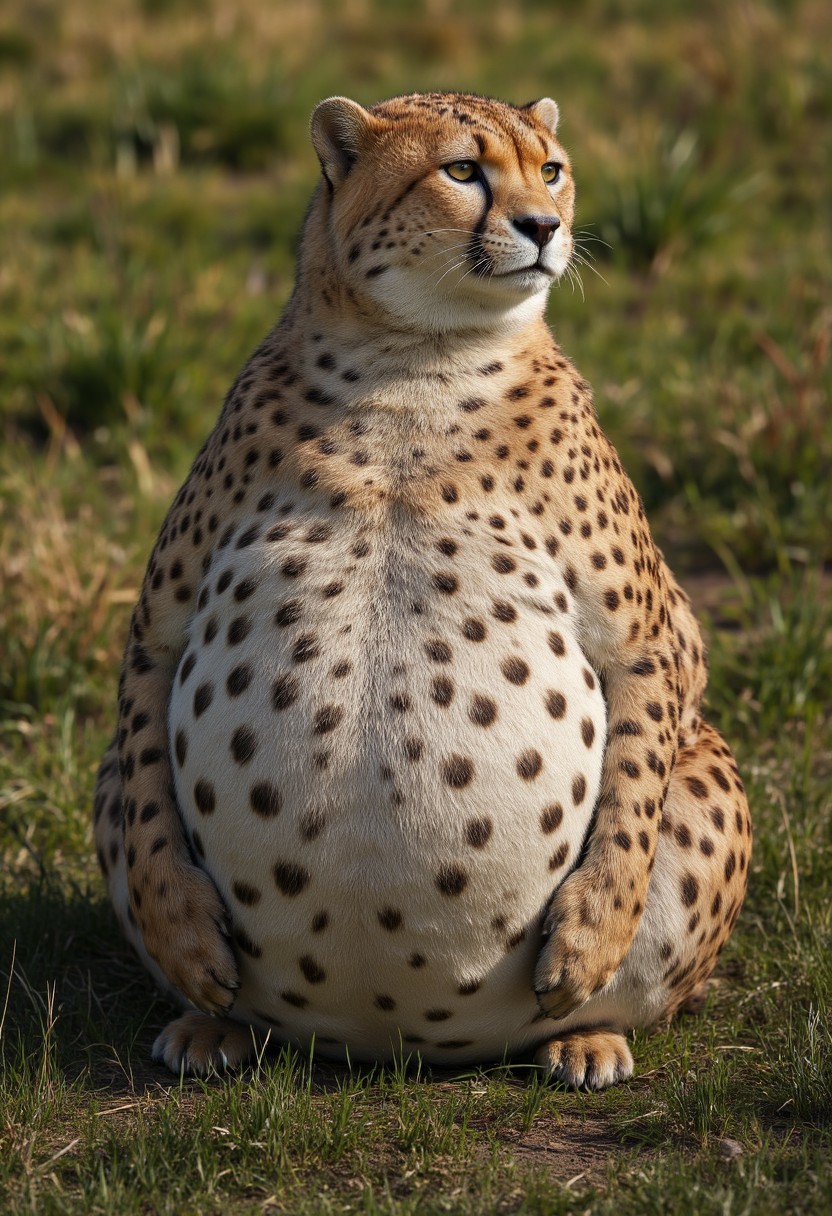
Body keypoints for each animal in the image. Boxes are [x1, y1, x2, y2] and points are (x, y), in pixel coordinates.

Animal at [93, 91, 751, 1090]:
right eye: (463, 171)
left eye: (550, 169)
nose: (544, 227)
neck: (418, 358)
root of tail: (390, 1046)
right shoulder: (158, 627)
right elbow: (142, 776)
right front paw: (183, 940)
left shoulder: (655, 636)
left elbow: (633, 798)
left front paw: (590, 937)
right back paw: (214, 1029)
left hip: (709, 766)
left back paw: (586, 1037)